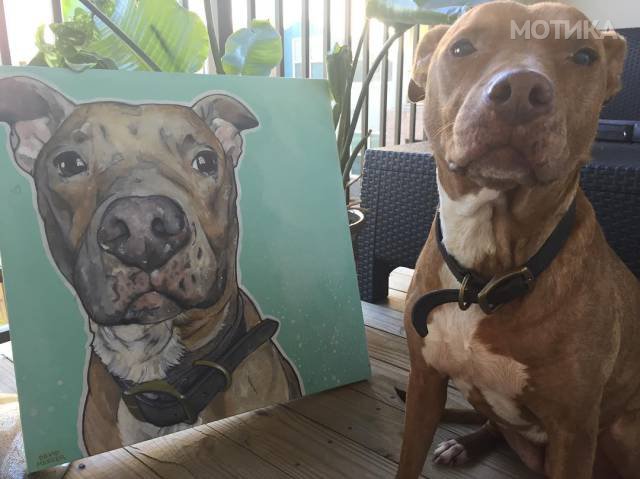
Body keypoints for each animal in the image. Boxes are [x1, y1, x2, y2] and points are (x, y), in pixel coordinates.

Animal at [399, 2, 640, 478]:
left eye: (584, 56)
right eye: (462, 47)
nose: (522, 90)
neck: (483, 274)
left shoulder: (573, 430)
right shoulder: (424, 385)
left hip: (624, 433)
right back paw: (465, 444)